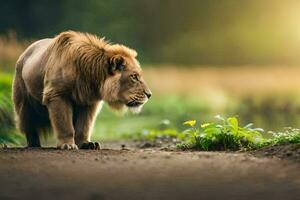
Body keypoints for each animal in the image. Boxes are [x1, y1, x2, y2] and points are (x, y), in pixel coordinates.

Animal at [12, 30, 152, 150]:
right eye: (134, 76)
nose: (149, 94)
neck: (89, 76)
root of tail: (24, 53)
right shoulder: (57, 95)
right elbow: (64, 124)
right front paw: (67, 145)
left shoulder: (88, 100)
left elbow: (84, 126)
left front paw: (87, 144)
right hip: (24, 101)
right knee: (28, 124)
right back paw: (34, 144)